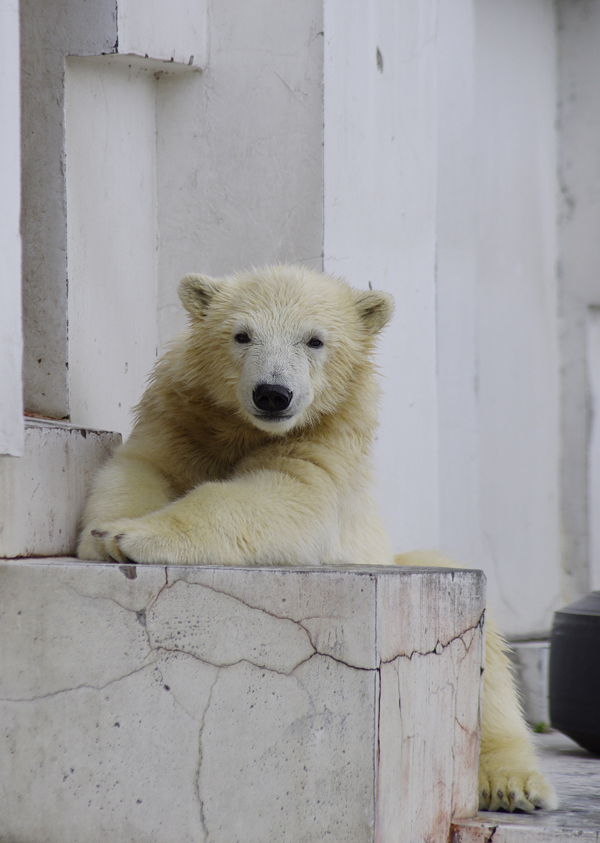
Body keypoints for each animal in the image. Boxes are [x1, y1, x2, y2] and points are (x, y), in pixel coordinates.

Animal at [77, 264, 556, 812]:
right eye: (241, 335)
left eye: (315, 340)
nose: (272, 393)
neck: (248, 428)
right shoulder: (184, 415)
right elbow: (141, 467)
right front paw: (105, 533)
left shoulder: (326, 440)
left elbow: (285, 498)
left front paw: (130, 535)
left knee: (485, 652)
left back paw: (512, 783)